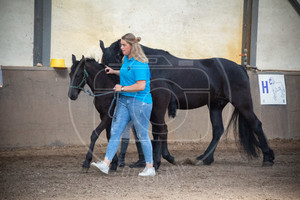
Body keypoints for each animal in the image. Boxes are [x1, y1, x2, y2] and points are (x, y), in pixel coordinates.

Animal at [99, 38, 276, 167]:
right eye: (103, 62)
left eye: (115, 59)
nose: (108, 91)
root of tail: (240, 67)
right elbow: (156, 130)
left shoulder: (157, 103)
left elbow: (158, 129)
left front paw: (159, 159)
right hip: (215, 106)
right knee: (218, 130)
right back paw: (204, 158)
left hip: (242, 103)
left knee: (256, 124)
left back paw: (268, 157)